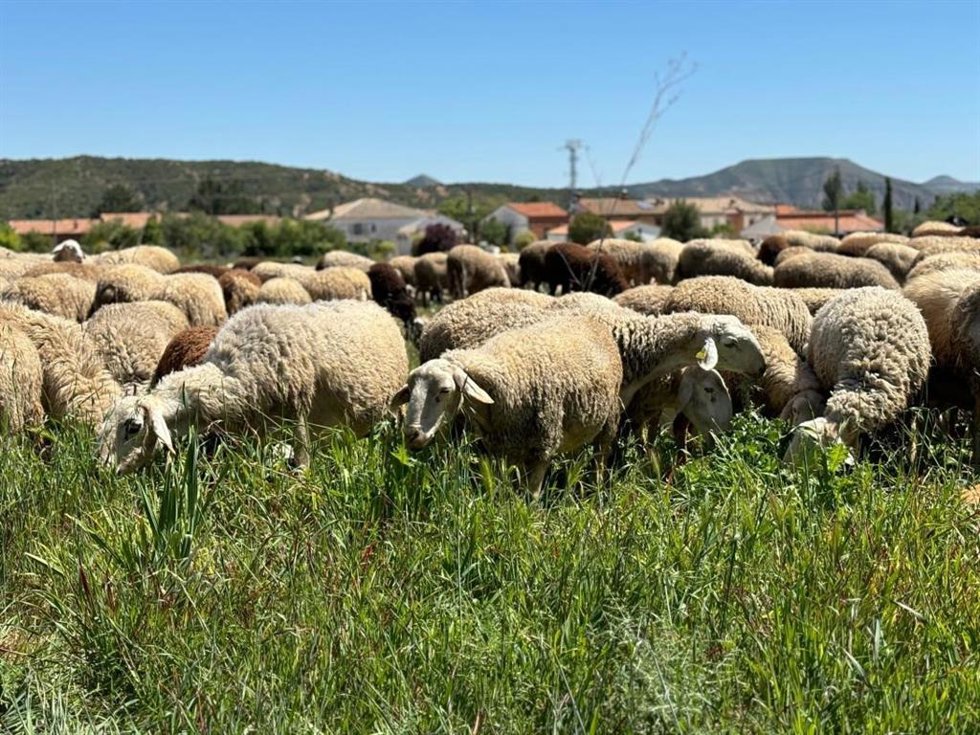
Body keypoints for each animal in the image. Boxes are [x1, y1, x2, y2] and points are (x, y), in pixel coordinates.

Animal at [99, 300, 409, 473]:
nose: (102, 470)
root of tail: (377, 307)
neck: (231, 372)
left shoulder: (298, 409)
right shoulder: (257, 429)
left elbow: (303, 463)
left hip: (396, 404)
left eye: (133, 427)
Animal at [392, 315, 623, 496]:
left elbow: (531, 496)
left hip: (609, 420)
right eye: (410, 390)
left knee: (600, 458)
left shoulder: (543, 446)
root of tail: (591, 321)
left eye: (445, 390)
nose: (411, 434)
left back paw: (596, 491)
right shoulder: (503, 448)